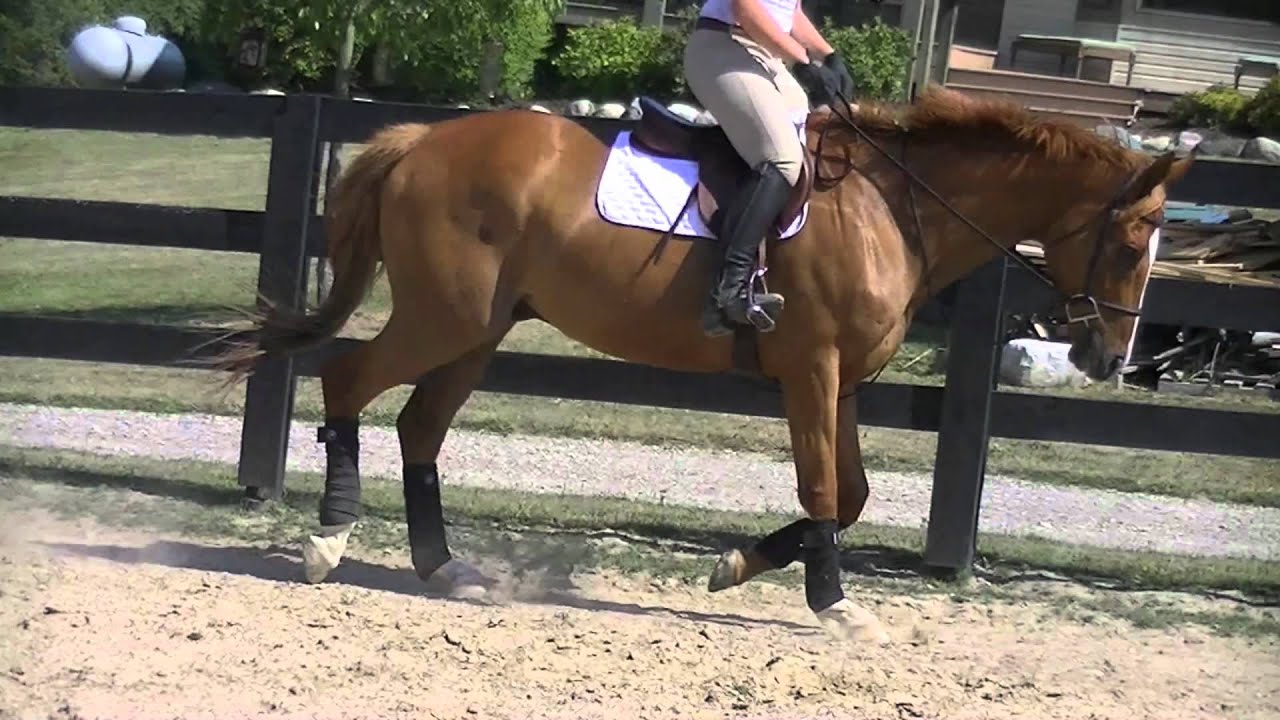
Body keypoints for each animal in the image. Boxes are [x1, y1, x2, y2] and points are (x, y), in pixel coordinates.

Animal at [210, 85, 1191, 644]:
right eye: (1131, 241)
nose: (1109, 356)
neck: (892, 206)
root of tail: (420, 140)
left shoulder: (840, 382)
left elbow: (851, 495)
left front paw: (738, 566)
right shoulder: (812, 371)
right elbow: (824, 489)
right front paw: (833, 605)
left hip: (476, 331)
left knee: (419, 428)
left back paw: (444, 568)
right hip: (441, 318)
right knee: (347, 383)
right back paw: (329, 542)